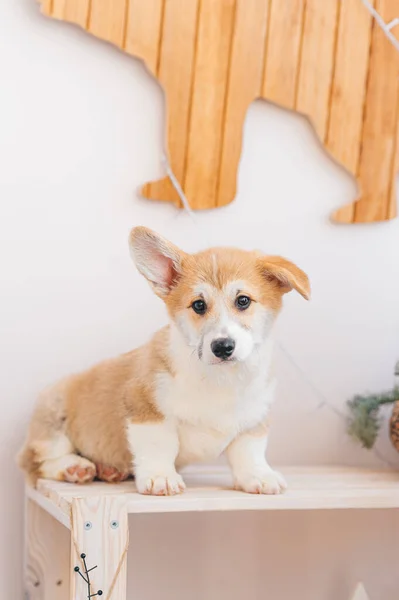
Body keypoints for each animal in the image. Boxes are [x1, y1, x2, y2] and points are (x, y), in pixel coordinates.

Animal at [18, 227, 312, 494]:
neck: (221, 379)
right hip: (52, 420)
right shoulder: (146, 409)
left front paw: (258, 476)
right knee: (36, 462)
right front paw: (160, 478)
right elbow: (159, 446)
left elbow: (249, 451)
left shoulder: (253, 419)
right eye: (198, 305)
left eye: (243, 301)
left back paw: (109, 470)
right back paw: (74, 467)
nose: (222, 347)